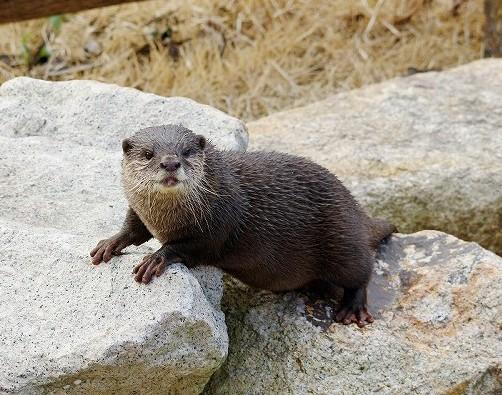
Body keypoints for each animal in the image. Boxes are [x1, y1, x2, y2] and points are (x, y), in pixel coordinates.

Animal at [91, 125, 396, 326]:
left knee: (361, 271)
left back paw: (353, 308)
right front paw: (110, 242)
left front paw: (156, 258)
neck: (164, 218)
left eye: (186, 152)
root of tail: (356, 208)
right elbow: (134, 227)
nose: (170, 163)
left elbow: (191, 246)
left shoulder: (221, 221)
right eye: (148, 154)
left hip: (342, 236)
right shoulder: (140, 210)